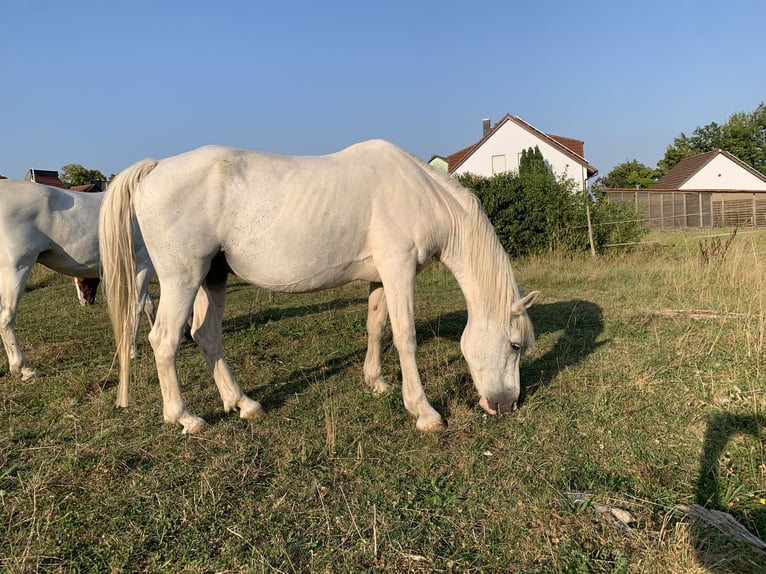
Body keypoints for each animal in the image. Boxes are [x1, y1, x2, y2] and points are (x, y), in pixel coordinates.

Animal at [0, 179, 156, 378]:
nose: (85, 301)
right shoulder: (145, 263)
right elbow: (136, 306)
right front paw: (132, 350)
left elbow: (148, 305)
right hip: (16, 270)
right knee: (6, 318)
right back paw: (23, 368)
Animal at [100, 142, 540, 434]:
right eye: (515, 345)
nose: (507, 405)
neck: (420, 193)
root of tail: (156, 167)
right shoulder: (398, 270)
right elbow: (405, 336)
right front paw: (424, 412)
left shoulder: (380, 276)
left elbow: (376, 327)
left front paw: (376, 383)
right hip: (183, 278)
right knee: (165, 340)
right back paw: (185, 417)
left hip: (213, 277)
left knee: (206, 335)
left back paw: (243, 404)